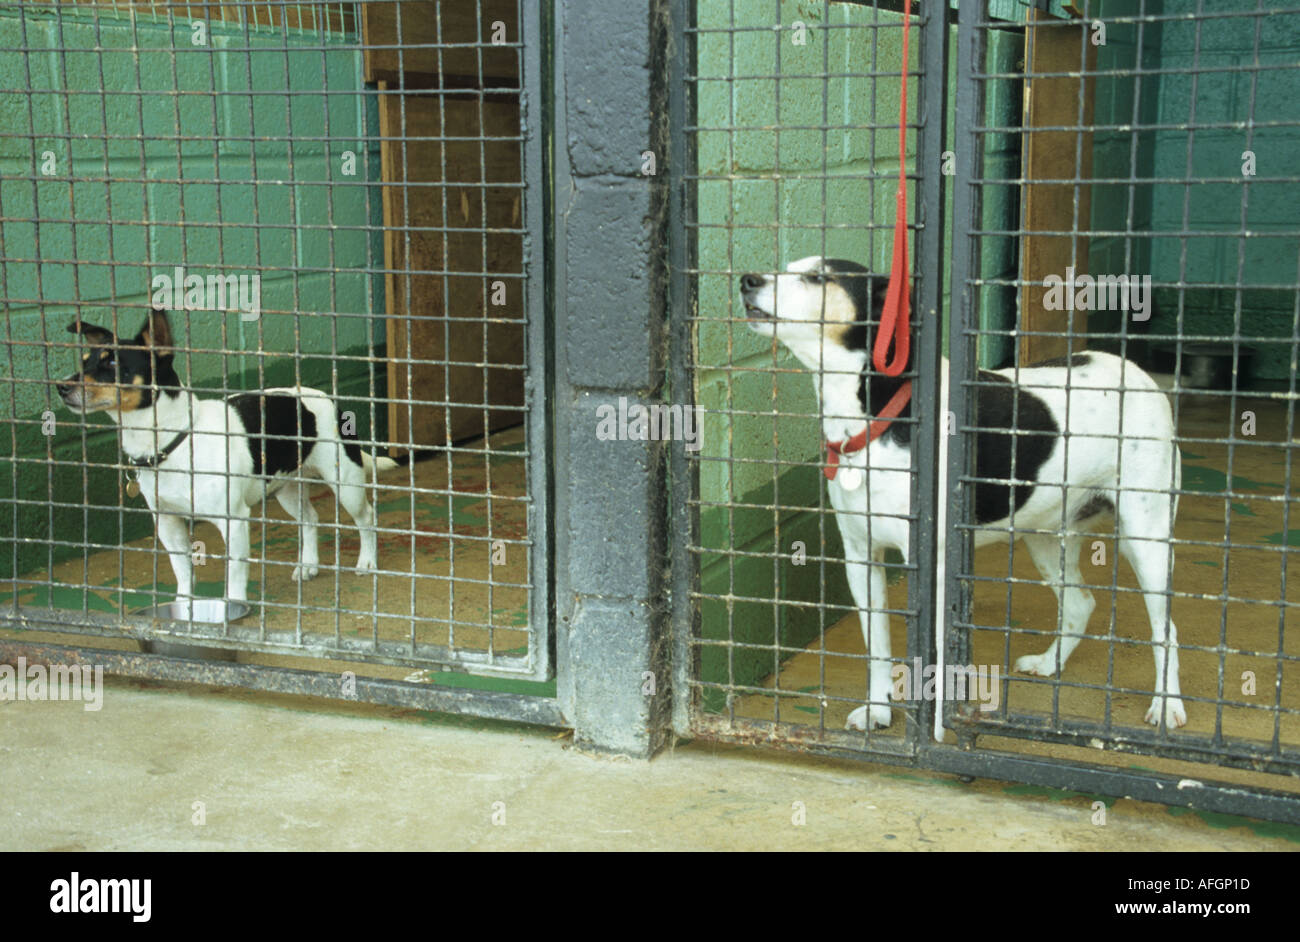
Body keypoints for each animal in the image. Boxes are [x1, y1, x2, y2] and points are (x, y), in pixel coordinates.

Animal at [59, 310, 395, 618]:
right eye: (84, 362)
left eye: (113, 364)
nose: (61, 387)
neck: (173, 441)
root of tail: (326, 399)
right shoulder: (168, 524)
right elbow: (183, 571)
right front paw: (183, 607)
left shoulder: (233, 521)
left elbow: (234, 571)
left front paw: (231, 609)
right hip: (285, 488)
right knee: (310, 519)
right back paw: (307, 565)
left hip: (345, 483)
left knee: (367, 517)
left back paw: (367, 561)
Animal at [738, 258, 1185, 732]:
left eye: (819, 278)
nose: (747, 280)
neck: (882, 412)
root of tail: (1138, 374)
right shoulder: (862, 557)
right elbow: (877, 648)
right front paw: (879, 709)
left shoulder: (933, 568)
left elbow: (937, 660)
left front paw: (937, 729)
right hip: (1047, 536)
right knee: (1081, 604)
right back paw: (1049, 664)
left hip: (1147, 537)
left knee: (1166, 631)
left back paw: (1167, 705)